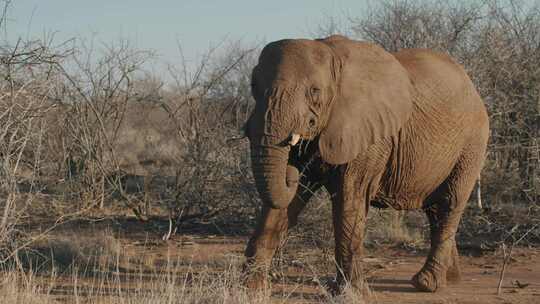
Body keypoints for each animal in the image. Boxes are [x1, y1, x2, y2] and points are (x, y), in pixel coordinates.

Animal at [243, 34, 488, 294]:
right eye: (253, 85)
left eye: (314, 91)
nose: (291, 175)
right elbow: (284, 202)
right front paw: (252, 289)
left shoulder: (369, 134)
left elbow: (349, 198)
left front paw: (351, 293)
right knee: (434, 209)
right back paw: (450, 278)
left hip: (472, 145)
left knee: (450, 203)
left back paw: (426, 283)